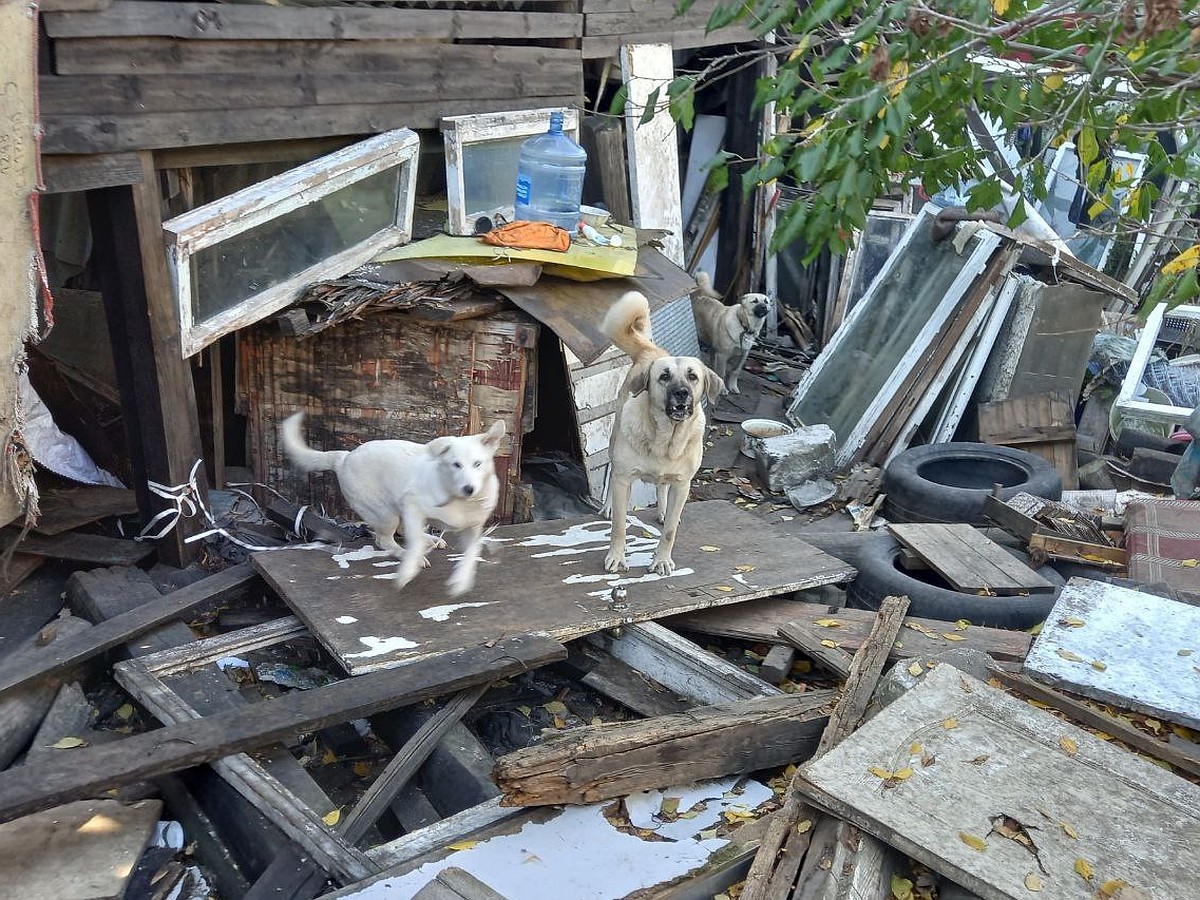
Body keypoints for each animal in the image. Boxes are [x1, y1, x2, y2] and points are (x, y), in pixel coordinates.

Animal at [280, 415, 506, 600]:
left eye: (478, 464)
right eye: (456, 464)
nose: (469, 488)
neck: (459, 500)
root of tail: (344, 458)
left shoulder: (473, 528)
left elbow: (471, 553)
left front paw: (461, 580)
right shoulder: (413, 503)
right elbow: (413, 541)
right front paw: (409, 568)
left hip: (397, 511)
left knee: (404, 531)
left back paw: (430, 539)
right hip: (385, 514)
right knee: (386, 540)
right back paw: (405, 553)